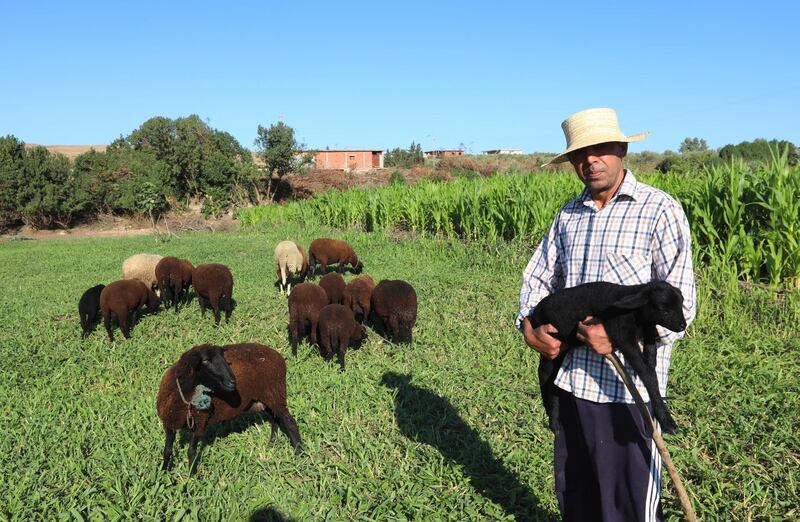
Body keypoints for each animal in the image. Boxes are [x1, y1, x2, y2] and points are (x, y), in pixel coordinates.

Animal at [156, 344, 304, 474]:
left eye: (225, 359)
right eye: (205, 361)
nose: (233, 382)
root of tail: (278, 356)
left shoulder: (200, 424)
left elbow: (191, 452)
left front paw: (191, 478)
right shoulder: (169, 423)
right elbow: (167, 450)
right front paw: (163, 472)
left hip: (276, 394)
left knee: (290, 423)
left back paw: (299, 454)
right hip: (265, 399)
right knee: (275, 420)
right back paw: (272, 444)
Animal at [532, 278, 688, 432]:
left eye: (681, 304)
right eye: (664, 310)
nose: (683, 325)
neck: (635, 314)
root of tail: (534, 312)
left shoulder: (648, 326)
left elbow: (651, 351)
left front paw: (651, 360)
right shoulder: (623, 336)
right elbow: (647, 374)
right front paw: (666, 420)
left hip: (561, 347)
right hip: (549, 344)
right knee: (544, 375)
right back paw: (552, 417)